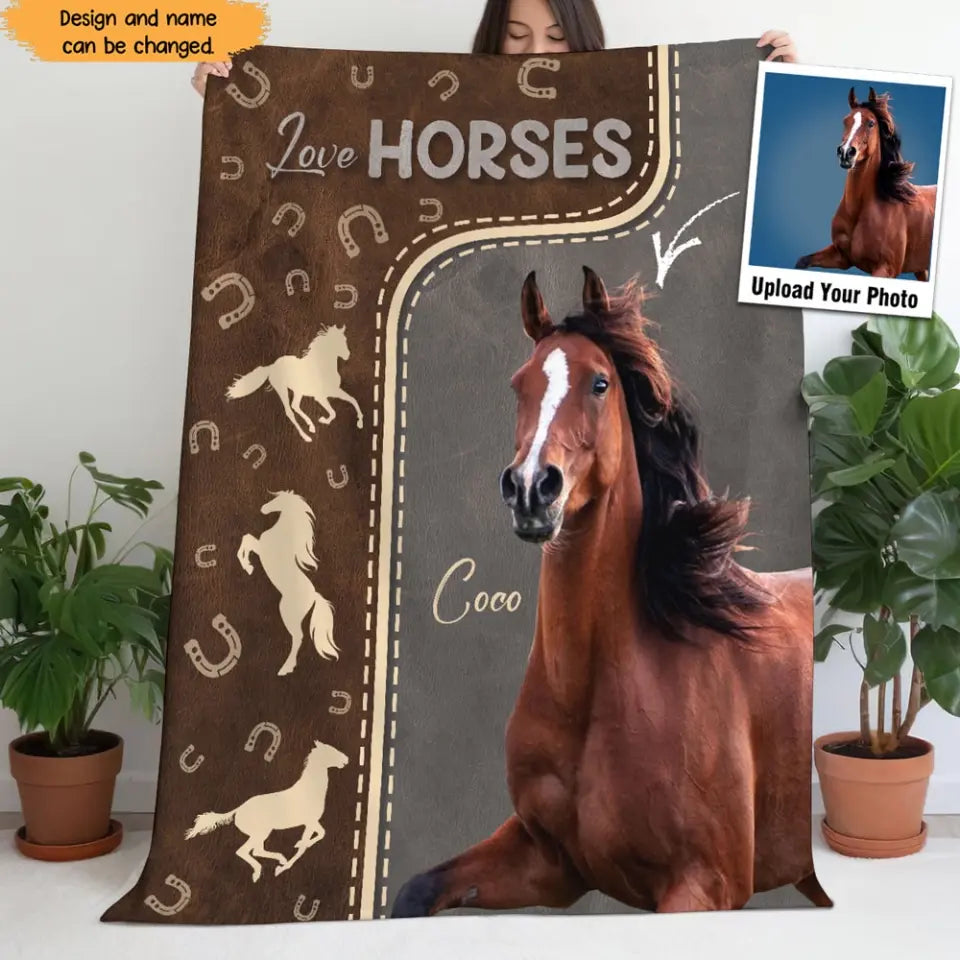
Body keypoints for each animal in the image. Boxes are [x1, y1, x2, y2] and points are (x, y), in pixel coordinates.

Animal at [184, 739, 348, 883]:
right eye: (330, 751)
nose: (346, 760)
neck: (310, 790)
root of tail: (238, 810)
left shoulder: (312, 822)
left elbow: (320, 834)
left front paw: (296, 848)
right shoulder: (310, 821)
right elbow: (310, 842)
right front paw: (292, 855)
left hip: (261, 833)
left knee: (255, 851)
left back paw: (276, 862)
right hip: (260, 832)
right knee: (245, 851)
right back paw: (262, 870)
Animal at [226, 325, 364, 442]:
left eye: (344, 339)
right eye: (336, 341)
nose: (347, 355)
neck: (321, 367)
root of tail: (272, 366)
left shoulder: (334, 391)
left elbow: (353, 400)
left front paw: (360, 423)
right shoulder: (320, 396)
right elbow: (333, 412)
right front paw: (324, 420)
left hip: (298, 391)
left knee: (295, 406)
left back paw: (311, 426)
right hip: (282, 389)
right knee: (290, 411)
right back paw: (307, 436)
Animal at [236, 490, 337, 676]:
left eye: (278, 500)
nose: (263, 508)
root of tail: (314, 595)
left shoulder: (262, 549)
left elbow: (247, 541)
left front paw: (248, 567)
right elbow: (247, 539)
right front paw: (248, 567)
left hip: (288, 614)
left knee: (298, 637)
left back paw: (285, 668)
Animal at [392, 267, 830, 916]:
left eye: (599, 383)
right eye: (518, 385)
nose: (531, 489)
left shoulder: (706, 884)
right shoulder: (546, 863)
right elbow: (414, 892)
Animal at [795, 87, 937, 280]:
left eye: (871, 123)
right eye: (845, 121)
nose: (846, 153)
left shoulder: (886, 269)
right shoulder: (841, 257)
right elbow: (802, 261)